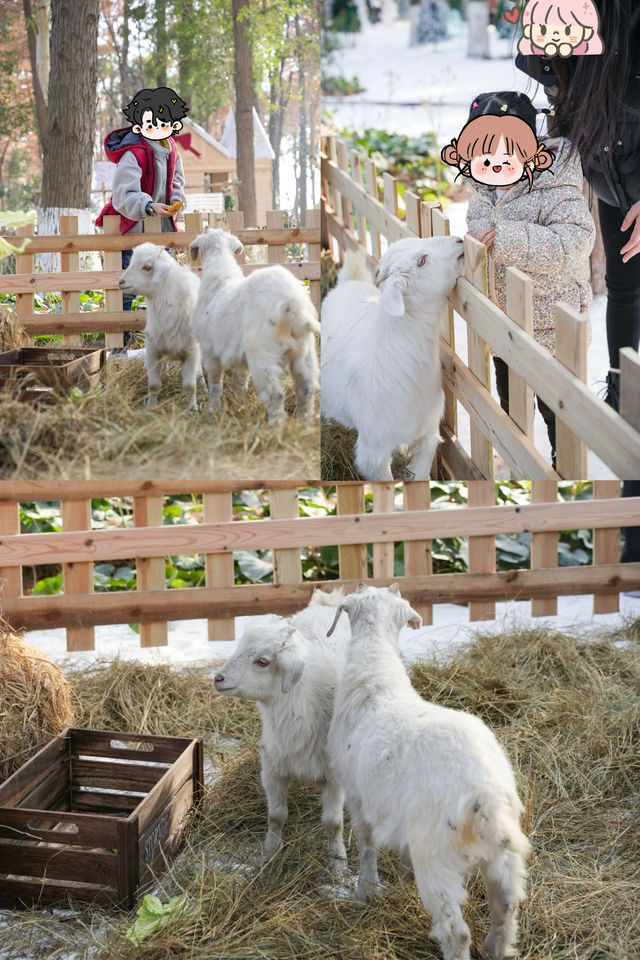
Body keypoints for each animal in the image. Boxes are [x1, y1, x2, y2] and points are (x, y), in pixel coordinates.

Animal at [117, 244, 201, 408]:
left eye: (147, 267)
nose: (121, 282)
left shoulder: (192, 352)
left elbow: (189, 385)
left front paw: (192, 407)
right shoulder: (153, 350)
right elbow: (154, 385)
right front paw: (151, 405)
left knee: (200, 373)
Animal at [189, 229, 320, 424]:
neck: (220, 274)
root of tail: (292, 302)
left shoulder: (209, 350)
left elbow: (215, 383)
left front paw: (213, 410)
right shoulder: (240, 359)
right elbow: (239, 383)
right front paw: (238, 407)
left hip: (263, 354)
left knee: (276, 395)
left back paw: (276, 425)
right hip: (304, 352)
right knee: (306, 390)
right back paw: (304, 424)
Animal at [212, 588, 348, 872]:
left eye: (262, 661)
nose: (218, 679)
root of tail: (327, 602)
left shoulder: (334, 777)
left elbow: (333, 824)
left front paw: (339, 866)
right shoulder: (273, 766)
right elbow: (275, 816)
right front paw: (269, 853)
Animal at [328, 580, 528, 960]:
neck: (376, 678)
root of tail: (484, 793)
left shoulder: (359, 797)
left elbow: (367, 845)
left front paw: (365, 891)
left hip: (436, 854)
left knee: (456, 931)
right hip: (503, 853)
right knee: (506, 906)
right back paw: (497, 946)